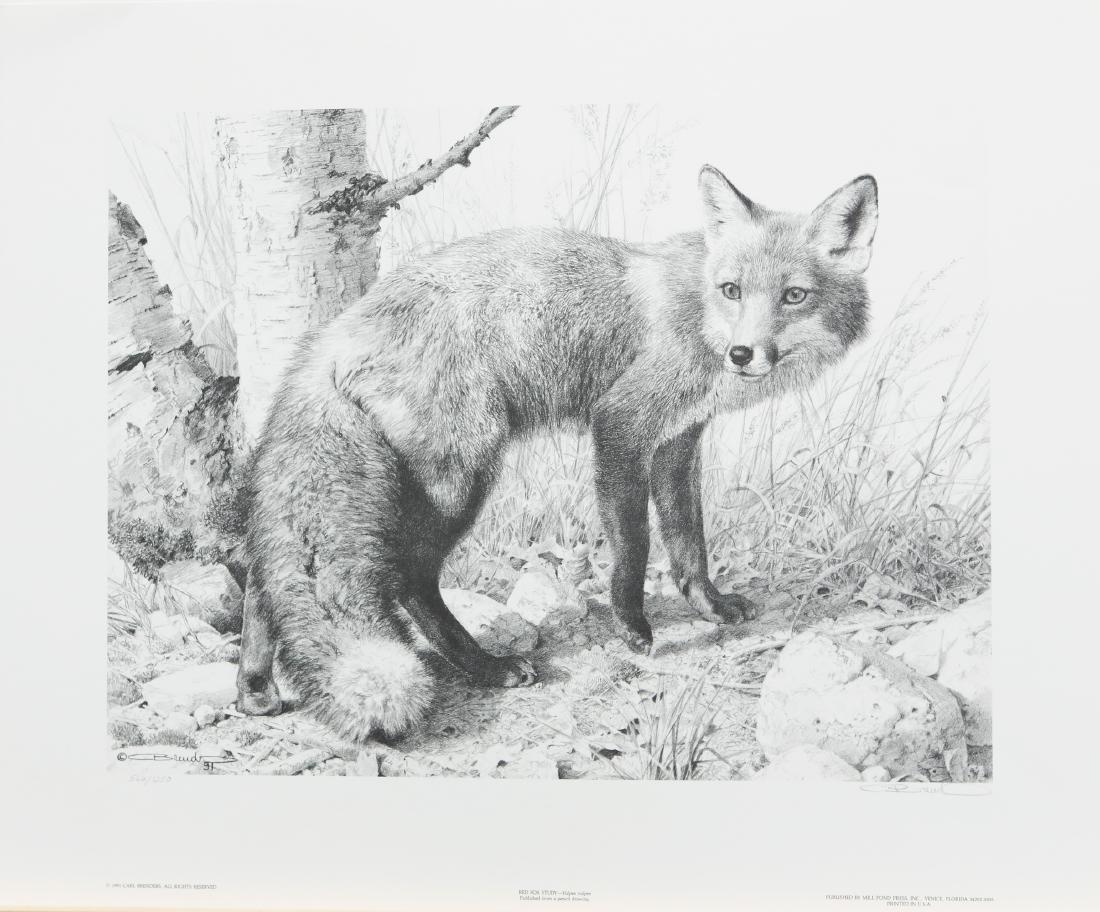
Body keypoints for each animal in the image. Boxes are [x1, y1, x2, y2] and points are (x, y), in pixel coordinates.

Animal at [235, 164, 878, 742]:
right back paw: (485, 668)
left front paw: (709, 608)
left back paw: (254, 689)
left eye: (794, 296)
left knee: (263, 582)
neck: (699, 314)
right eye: (732, 290)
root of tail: (334, 335)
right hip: (458, 480)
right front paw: (633, 628)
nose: (743, 354)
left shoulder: (678, 441)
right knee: (407, 581)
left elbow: (688, 541)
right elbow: (635, 545)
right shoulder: (621, 424)